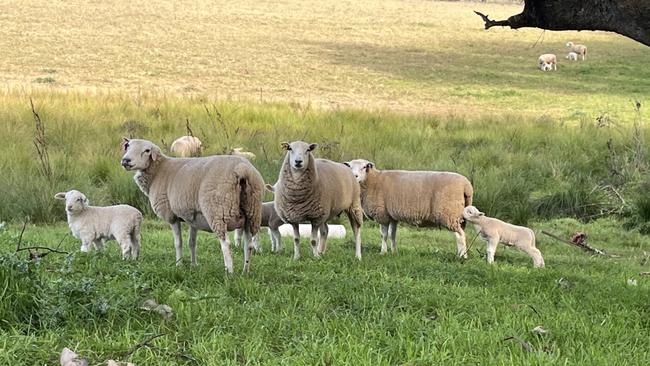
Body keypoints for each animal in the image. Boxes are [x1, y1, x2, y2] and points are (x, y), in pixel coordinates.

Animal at [119, 139, 264, 274]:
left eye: (147, 150)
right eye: (128, 146)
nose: (126, 160)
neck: (158, 171)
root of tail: (242, 169)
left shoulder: (172, 216)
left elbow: (178, 243)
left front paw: (179, 264)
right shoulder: (193, 217)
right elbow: (192, 242)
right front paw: (194, 265)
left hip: (218, 210)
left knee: (226, 244)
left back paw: (229, 272)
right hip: (252, 212)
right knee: (248, 244)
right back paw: (245, 272)